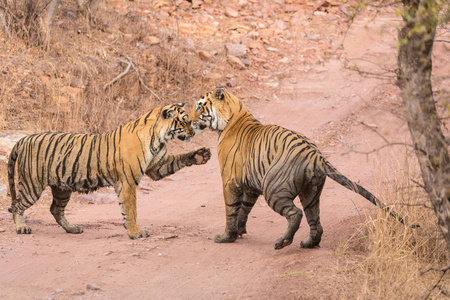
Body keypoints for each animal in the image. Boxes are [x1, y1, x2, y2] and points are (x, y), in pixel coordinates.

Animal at [7, 103, 211, 239]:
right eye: (184, 121)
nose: (193, 132)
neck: (158, 138)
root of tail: (24, 139)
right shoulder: (128, 182)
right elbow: (130, 209)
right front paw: (136, 232)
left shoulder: (158, 166)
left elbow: (179, 159)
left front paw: (201, 155)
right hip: (32, 185)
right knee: (17, 205)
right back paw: (21, 228)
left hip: (62, 187)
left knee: (55, 209)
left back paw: (73, 228)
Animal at [191, 87, 418, 251]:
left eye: (200, 107)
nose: (189, 120)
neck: (234, 115)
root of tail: (316, 155)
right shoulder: (251, 186)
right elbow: (244, 209)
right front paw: (239, 231)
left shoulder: (230, 181)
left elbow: (231, 209)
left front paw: (226, 237)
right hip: (311, 191)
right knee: (315, 220)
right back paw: (309, 243)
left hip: (273, 188)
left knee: (296, 213)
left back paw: (282, 242)